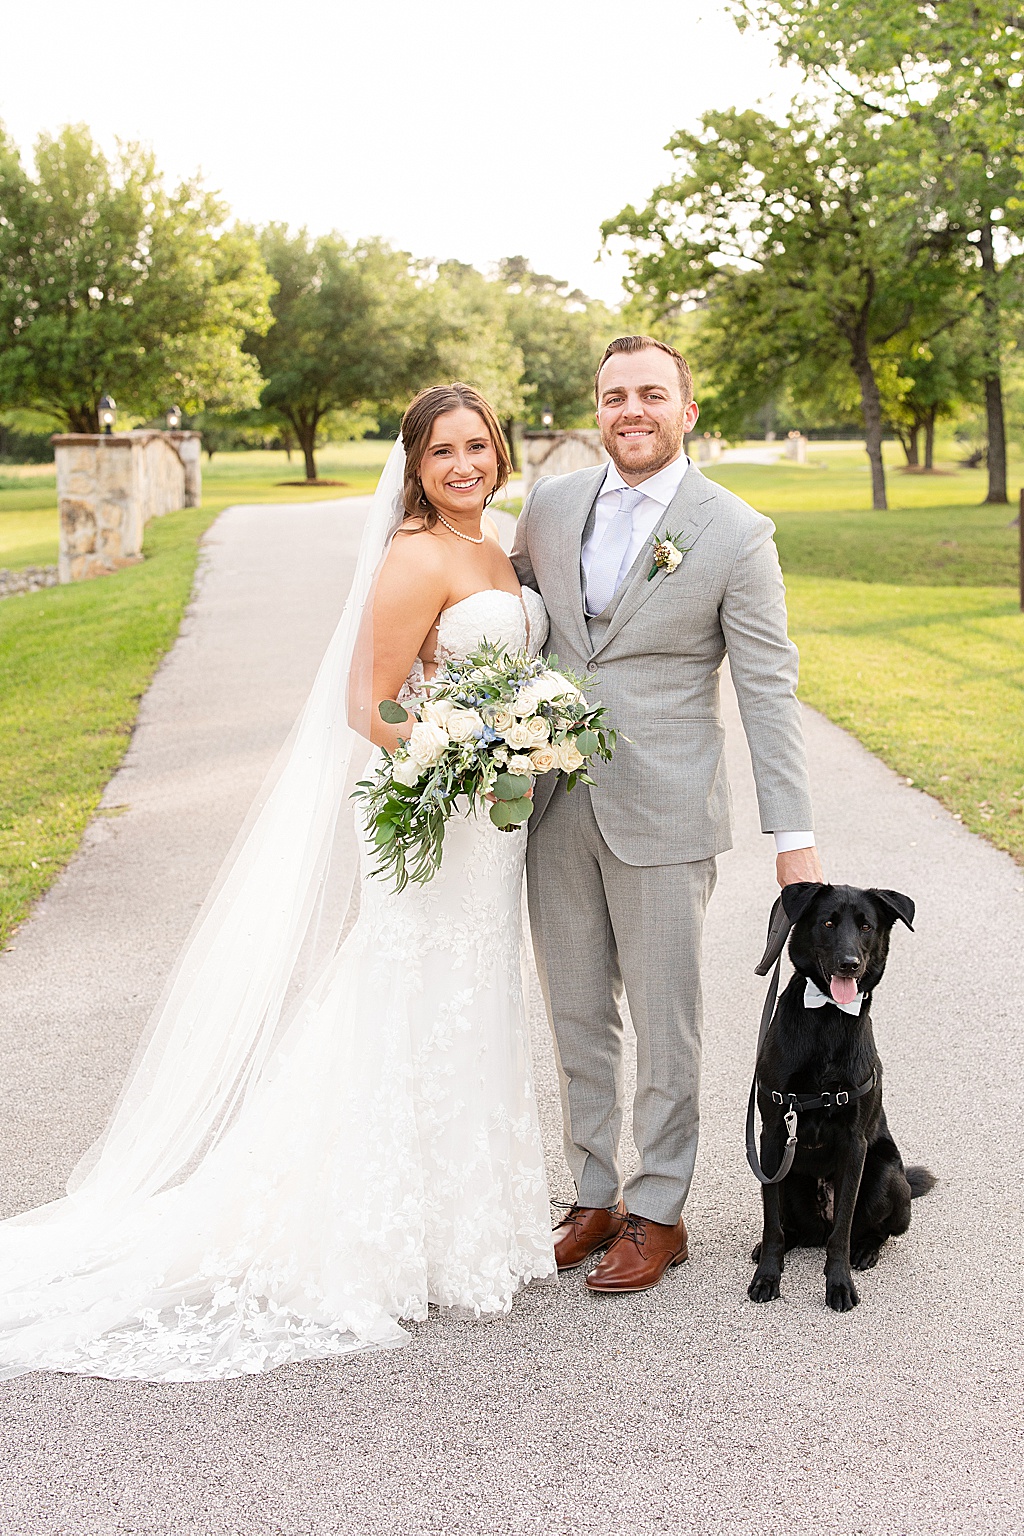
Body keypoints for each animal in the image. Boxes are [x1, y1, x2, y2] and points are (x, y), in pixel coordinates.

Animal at [746, 884, 939, 1314]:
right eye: (828, 923)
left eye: (866, 926)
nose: (850, 965)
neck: (827, 1019)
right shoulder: (772, 1136)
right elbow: (771, 1224)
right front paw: (767, 1276)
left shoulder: (855, 1144)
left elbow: (843, 1229)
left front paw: (839, 1283)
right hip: (788, 1179)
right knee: (792, 1228)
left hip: (885, 1174)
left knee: (868, 1230)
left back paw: (865, 1250)